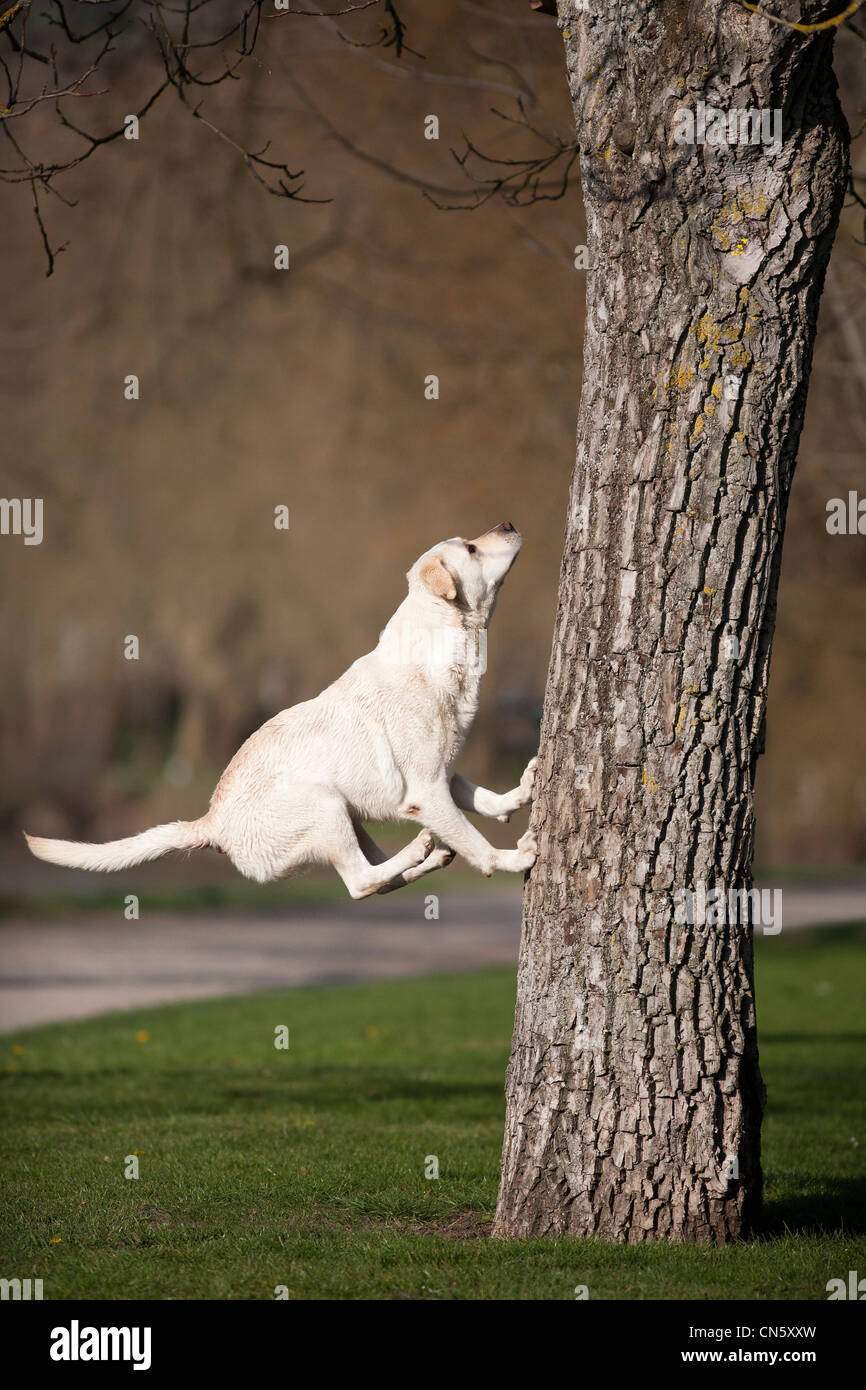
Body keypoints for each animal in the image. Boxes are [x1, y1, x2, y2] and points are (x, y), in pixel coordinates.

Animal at [25, 522, 536, 900]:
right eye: (471, 548)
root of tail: (213, 823)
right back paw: (417, 852)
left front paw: (521, 793)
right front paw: (513, 859)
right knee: (360, 882)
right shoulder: (426, 792)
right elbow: (478, 843)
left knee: (376, 879)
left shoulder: (443, 774)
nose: (509, 523)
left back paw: (426, 855)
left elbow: (481, 798)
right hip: (324, 804)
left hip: (348, 815)